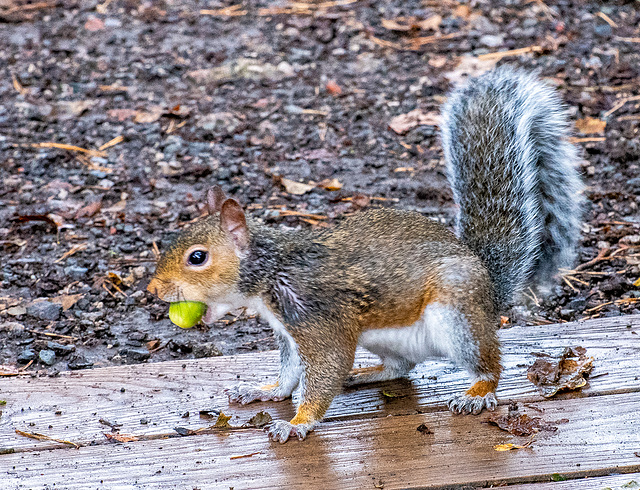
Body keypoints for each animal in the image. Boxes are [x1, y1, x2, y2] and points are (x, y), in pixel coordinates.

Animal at [146, 67, 584, 446]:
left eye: (197, 257)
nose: (154, 289)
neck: (271, 273)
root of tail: (489, 287)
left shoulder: (318, 320)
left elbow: (326, 367)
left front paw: (298, 422)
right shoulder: (288, 333)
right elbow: (290, 373)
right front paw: (265, 390)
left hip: (457, 314)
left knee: (489, 362)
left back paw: (478, 391)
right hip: (386, 336)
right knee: (401, 367)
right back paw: (365, 373)